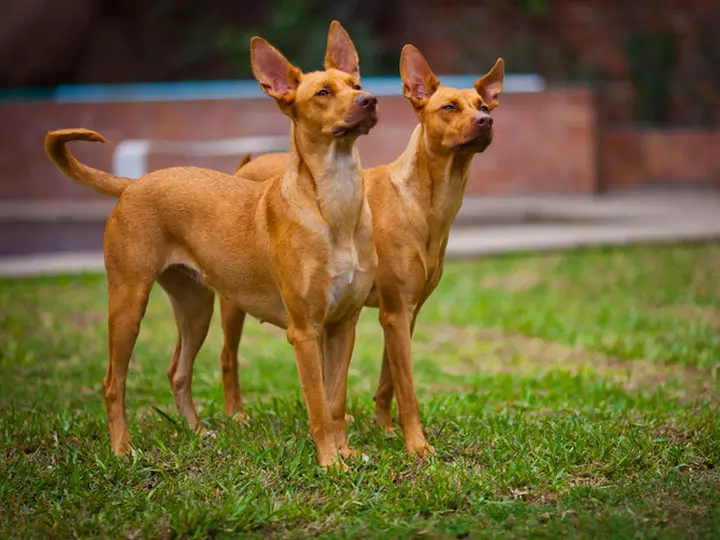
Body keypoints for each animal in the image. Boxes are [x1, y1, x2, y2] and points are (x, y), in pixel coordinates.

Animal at [43, 21, 382, 468]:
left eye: (355, 83)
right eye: (323, 93)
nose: (370, 99)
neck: (334, 204)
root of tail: (134, 184)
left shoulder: (343, 325)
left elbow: (335, 401)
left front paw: (346, 454)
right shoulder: (305, 332)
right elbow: (318, 407)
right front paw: (330, 462)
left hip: (195, 307)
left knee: (177, 371)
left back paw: (197, 431)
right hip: (129, 302)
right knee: (113, 381)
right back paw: (123, 448)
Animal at [217, 46, 504, 458]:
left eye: (483, 105)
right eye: (449, 107)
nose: (485, 121)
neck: (423, 201)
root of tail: (249, 163)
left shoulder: (404, 312)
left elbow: (388, 382)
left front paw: (383, 428)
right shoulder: (395, 312)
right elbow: (407, 388)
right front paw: (417, 446)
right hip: (234, 301)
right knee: (228, 356)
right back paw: (236, 415)